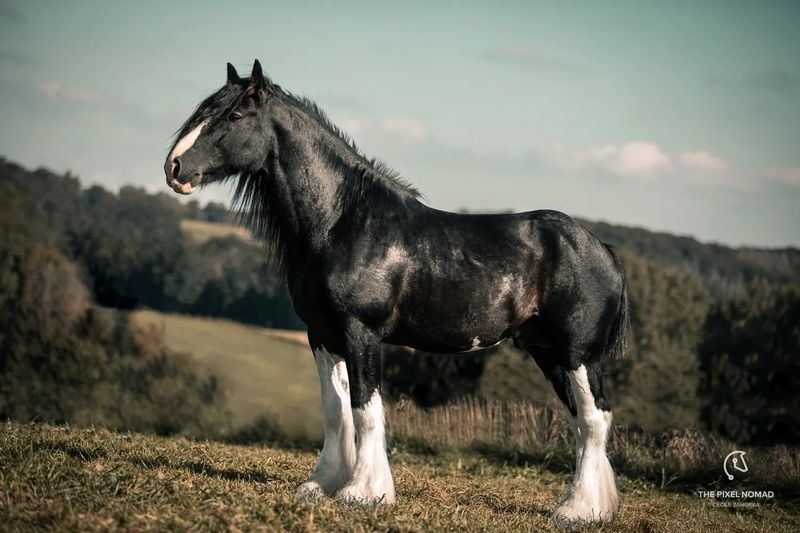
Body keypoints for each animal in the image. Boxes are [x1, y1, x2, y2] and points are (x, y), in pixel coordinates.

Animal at [164, 60, 632, 520]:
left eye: (234, 115)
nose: (174, 168)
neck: (342, 221)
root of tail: (604, 251)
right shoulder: (322, 336)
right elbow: (335, 411)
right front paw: (322, 485)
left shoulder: (361, 334)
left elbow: (366, 411)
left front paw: (362, 493)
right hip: (548, 352)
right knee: (580, 420)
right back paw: (592, 506)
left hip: (577, 354)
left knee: (594, 419)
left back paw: (577, 510)